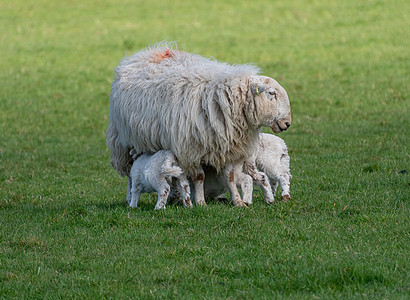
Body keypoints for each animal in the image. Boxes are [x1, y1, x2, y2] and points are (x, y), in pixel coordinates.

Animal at [105, 41, 292, 206]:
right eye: (272, 93)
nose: (287, 123)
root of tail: (153, 51)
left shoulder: (226, 149)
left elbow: (230, 177)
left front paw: (237, 201)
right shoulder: (191, 150)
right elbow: (199, 177)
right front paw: (201, 202)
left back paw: (176, 198)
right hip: (124, 142)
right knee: (131, 174)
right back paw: (131, 198)